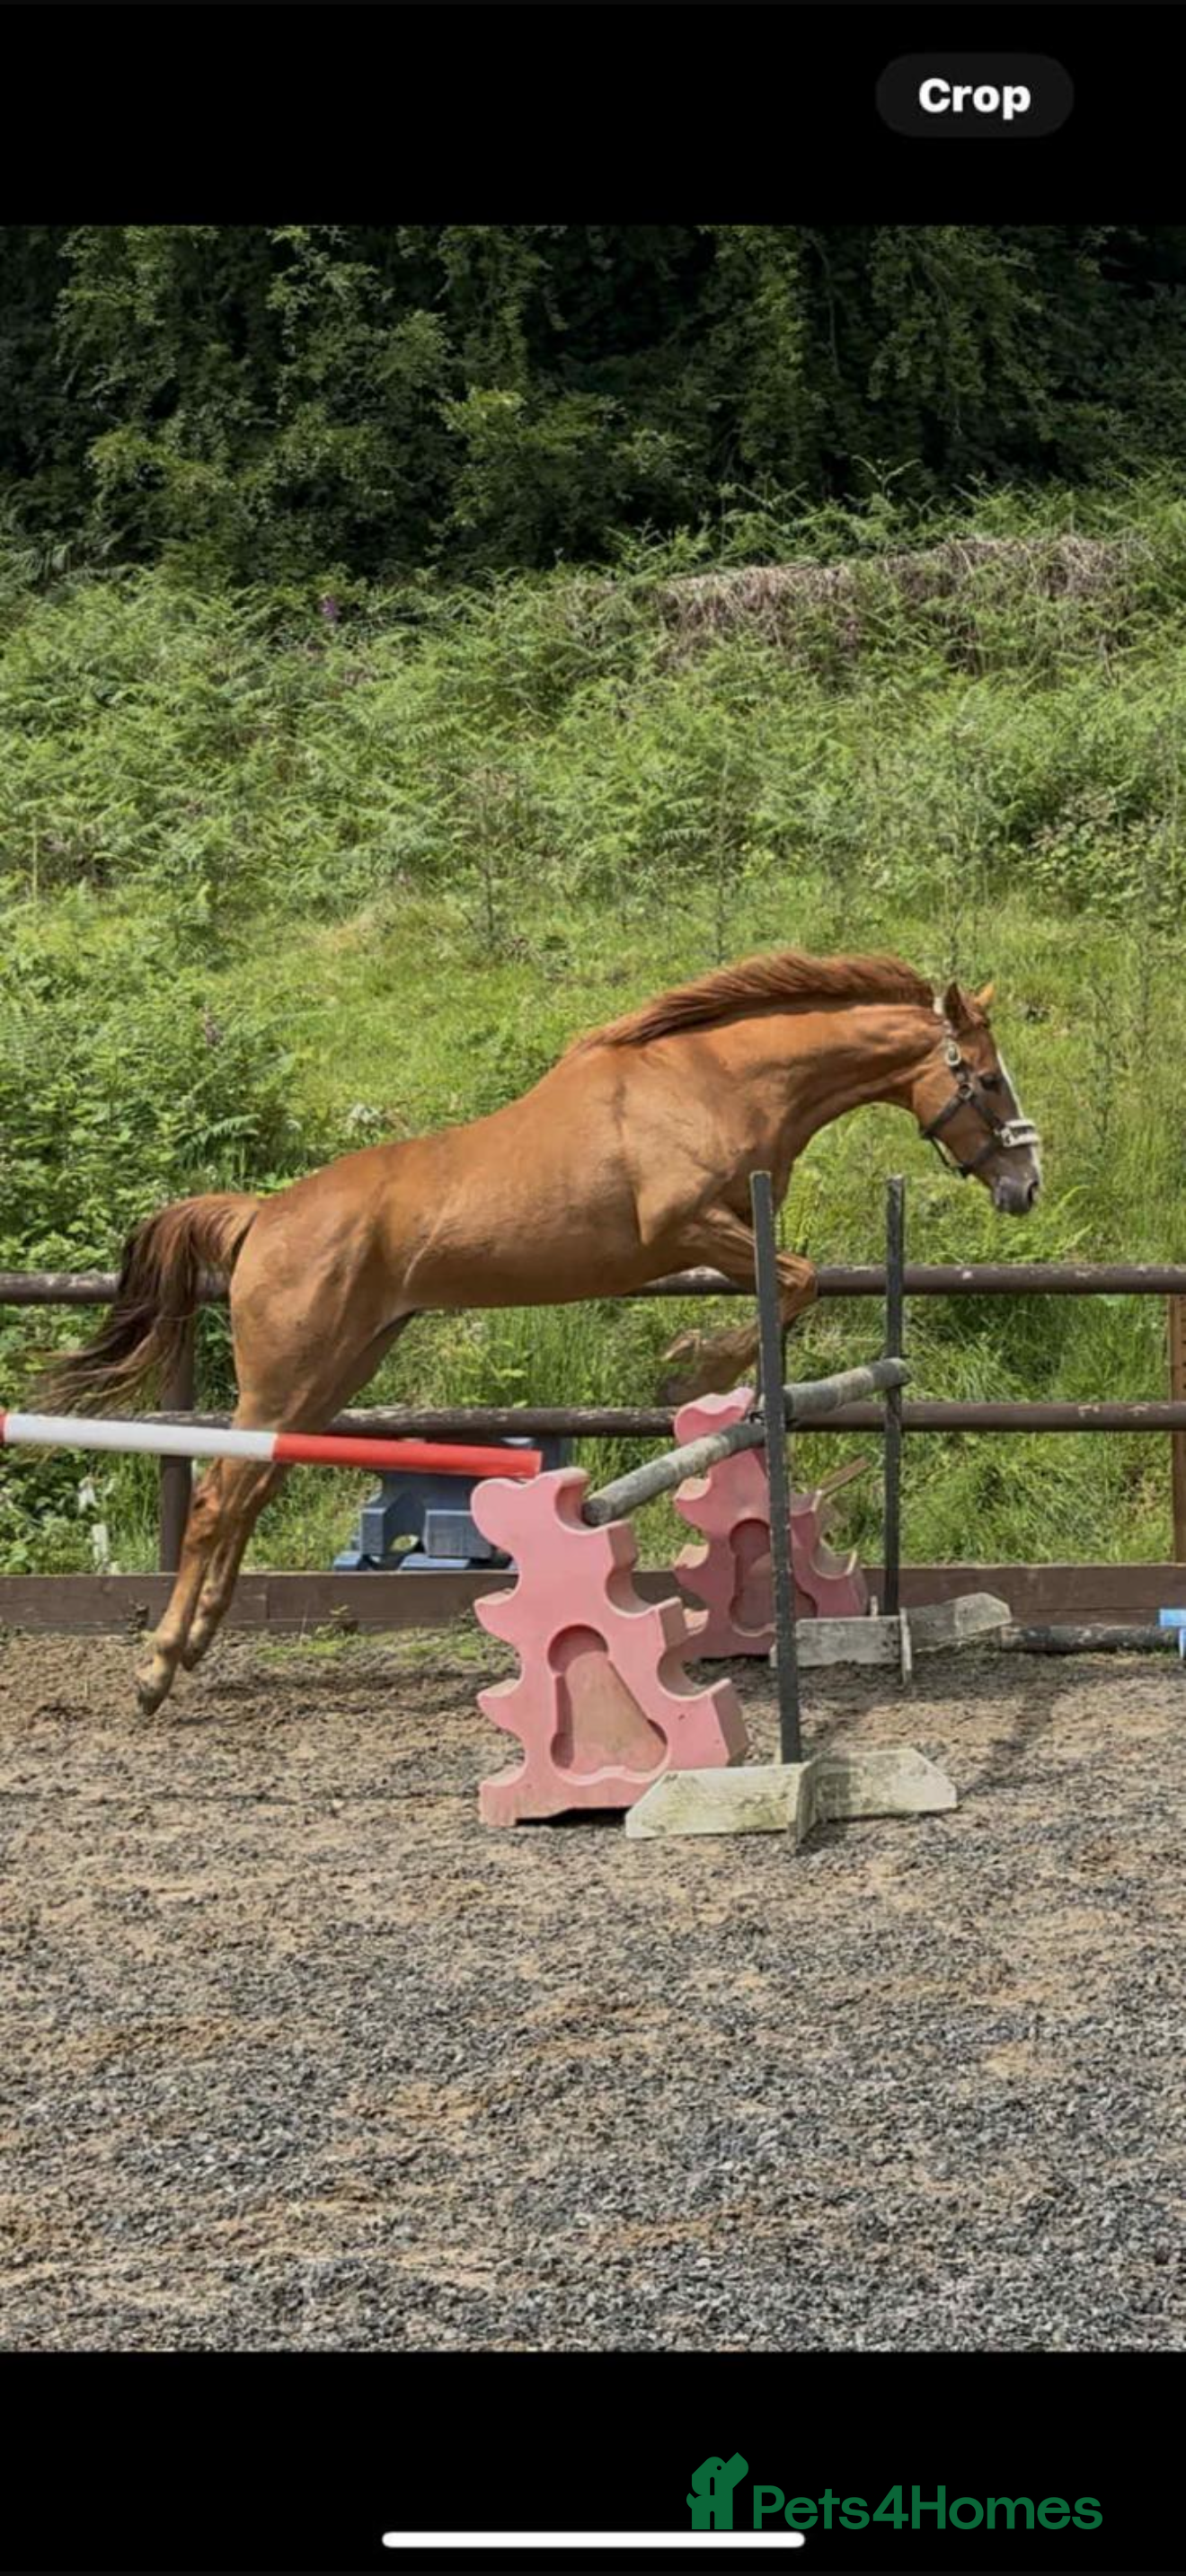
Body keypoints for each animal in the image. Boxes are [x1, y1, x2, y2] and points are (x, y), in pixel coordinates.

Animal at [40, 947, 1041, 1712]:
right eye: (990, 1080)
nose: (1024, 1188)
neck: (716, 1081)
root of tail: (261, 1215)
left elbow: (796, 1284)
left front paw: (733, 1385)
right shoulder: (687, 1228)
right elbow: (797, 1280)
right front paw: (696, 1371)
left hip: (335, 1373)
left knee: (249, 1492)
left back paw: (200, 1641)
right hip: (290, 1373)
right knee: (219, 1498)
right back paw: (158, 1666)